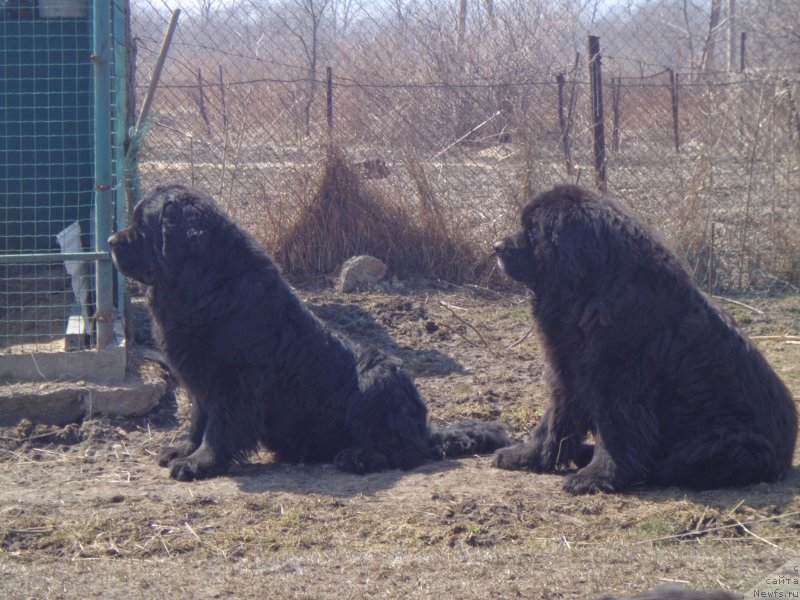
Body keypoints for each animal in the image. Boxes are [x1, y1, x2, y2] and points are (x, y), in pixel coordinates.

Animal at [108, 185, 506, 480]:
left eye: (142, 223)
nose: (111, 241)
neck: (205, 283)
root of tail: (424, 428)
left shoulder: (235, 379)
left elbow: (218, 426)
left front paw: (200, 462)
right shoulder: (199, 378)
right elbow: (198, 419)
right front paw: (184, 450)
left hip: (378, 377)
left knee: (406, 451)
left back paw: (358, 457)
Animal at [490, 185, 796, 494]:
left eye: (533, 231)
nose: (496, 246)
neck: (591, 291)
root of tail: (787, 457)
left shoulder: (617, 380)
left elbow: (614, 432)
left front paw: (597, 476)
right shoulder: (567, 372)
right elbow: (552, 421)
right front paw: (525, 455)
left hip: (730, 445)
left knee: (674, 465)